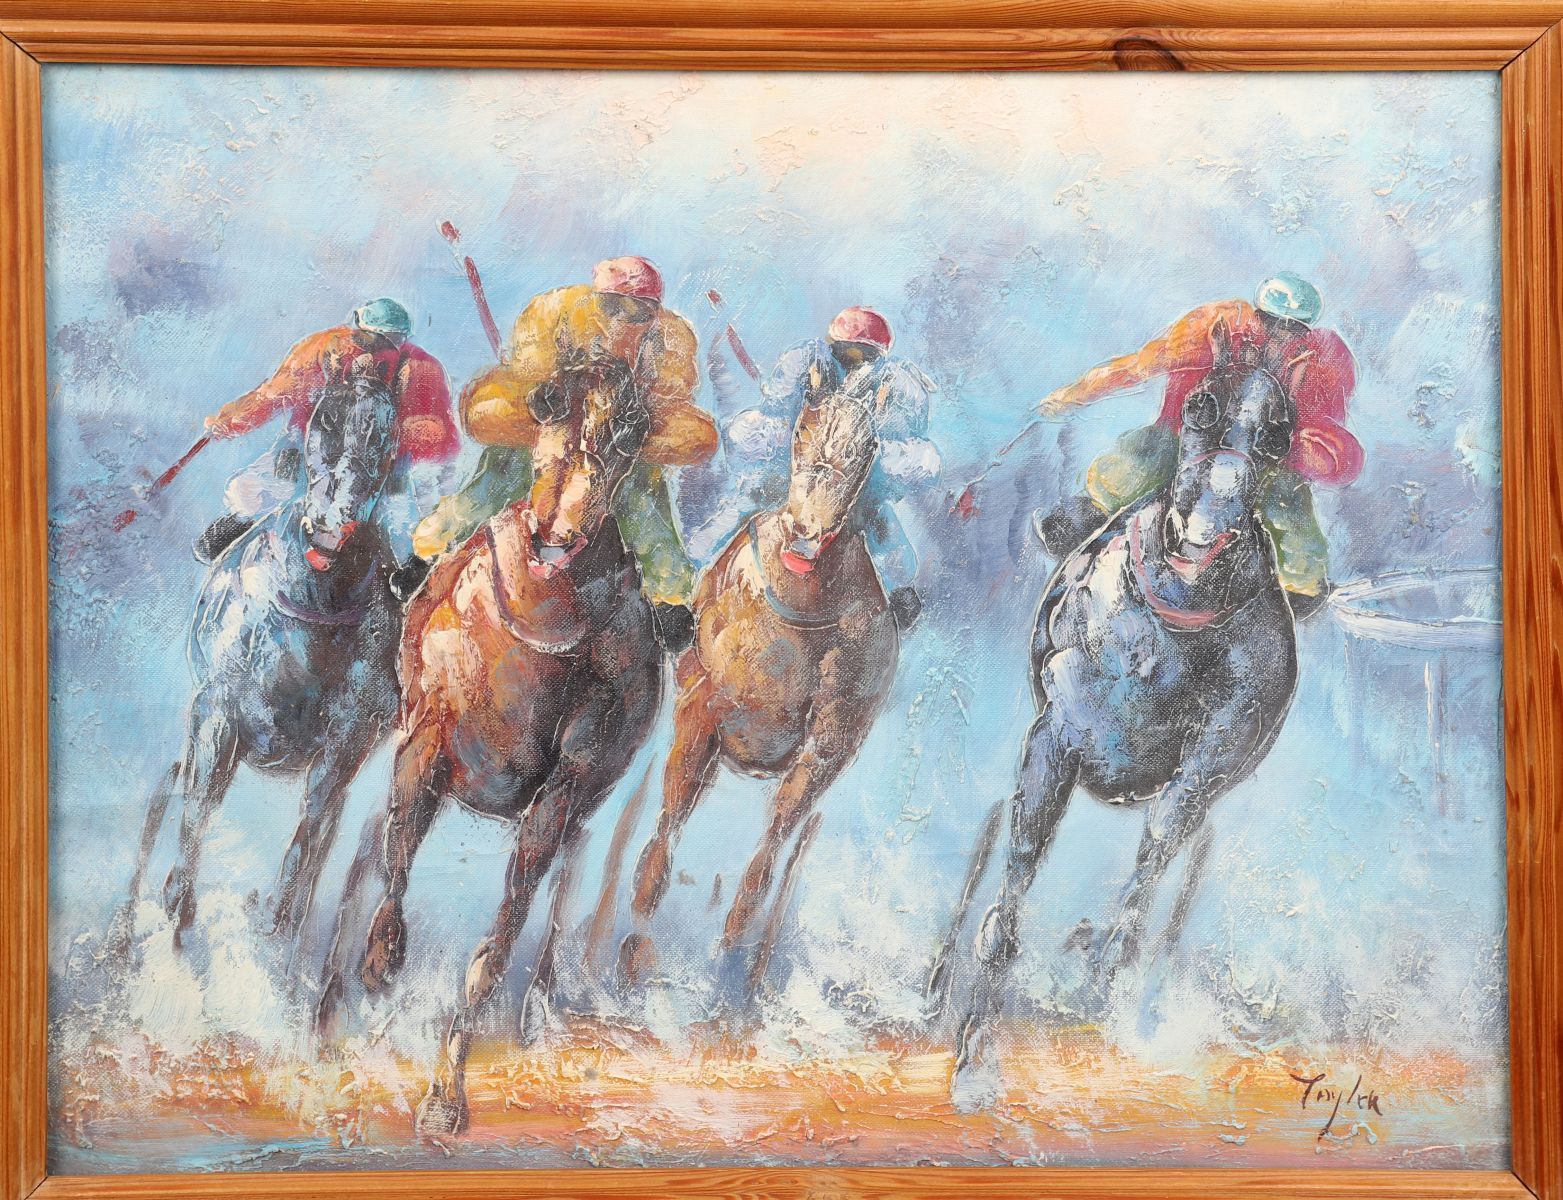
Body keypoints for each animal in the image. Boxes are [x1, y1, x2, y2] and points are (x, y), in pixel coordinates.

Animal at [122, 373, 403, 957]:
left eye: (383, 437)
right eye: (325, 418)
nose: (333, 521)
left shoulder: (345, 744)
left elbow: (309, 833)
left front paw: (275, 918)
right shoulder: (218, 715)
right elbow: (197, 812)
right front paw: (179, 908)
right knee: (169, 800)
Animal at [313, 365, 664, 1138]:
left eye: (629, 438)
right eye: (548, 411)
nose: (562, 531)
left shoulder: (563, 789)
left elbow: (499, 939)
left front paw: (446, 1097)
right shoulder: (425, 744)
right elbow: (395, 862)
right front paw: (381, 962)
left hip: (582, 806)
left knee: (560, 889)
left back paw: (535, 1009)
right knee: (370, 847)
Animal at [619, 379, 900, 999]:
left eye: (868, 449)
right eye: (801, 429)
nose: (808, 533)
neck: (801, 614)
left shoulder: (825, 751)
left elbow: (771, 849)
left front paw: (732, 948)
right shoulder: (703, 714)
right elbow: (665, 833)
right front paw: (636, 943)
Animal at [932, 321, 1302, 1107]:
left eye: (1278, 434)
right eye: (1199, 405)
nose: (1212, 512)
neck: (1178, 622)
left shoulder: (1199, 777)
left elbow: (1144, 887)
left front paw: (1095, 979)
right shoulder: (1055, 743)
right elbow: (1006, 907)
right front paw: (975, 1060)